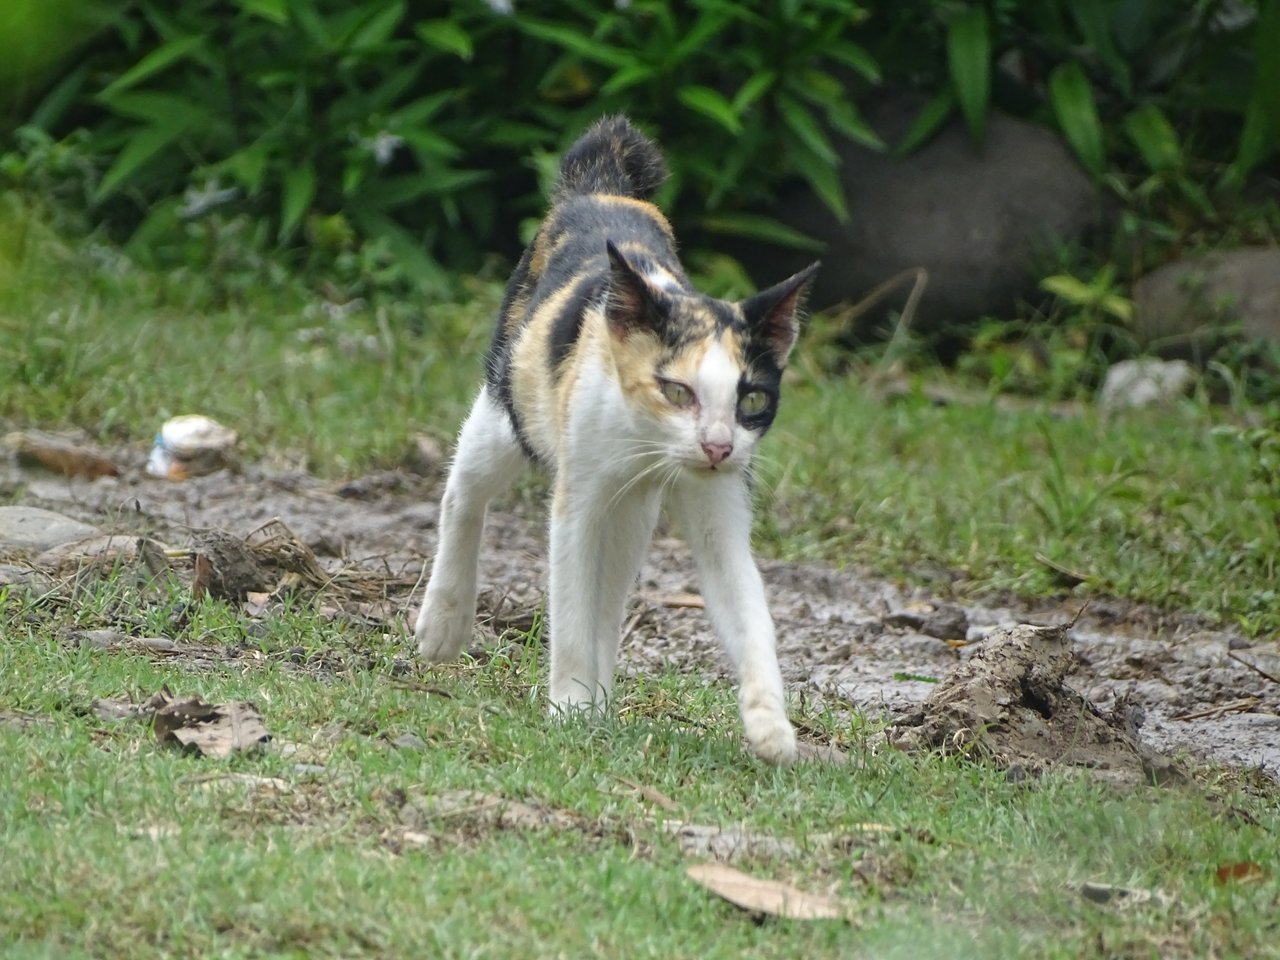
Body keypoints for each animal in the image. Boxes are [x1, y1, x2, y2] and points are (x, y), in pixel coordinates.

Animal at [417, 116, 819, 768]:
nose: (716, 447)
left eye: (752, 400)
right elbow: (571, 602)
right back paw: (443, 623)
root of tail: (604, 192)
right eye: (677, 391)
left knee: (612, 587)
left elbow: (746, 603)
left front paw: (770, 725)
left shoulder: (719, 501)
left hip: (633, 510)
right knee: (464, 491)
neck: (649, 443)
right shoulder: (577, 499)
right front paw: (568, 707)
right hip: (512, 404)